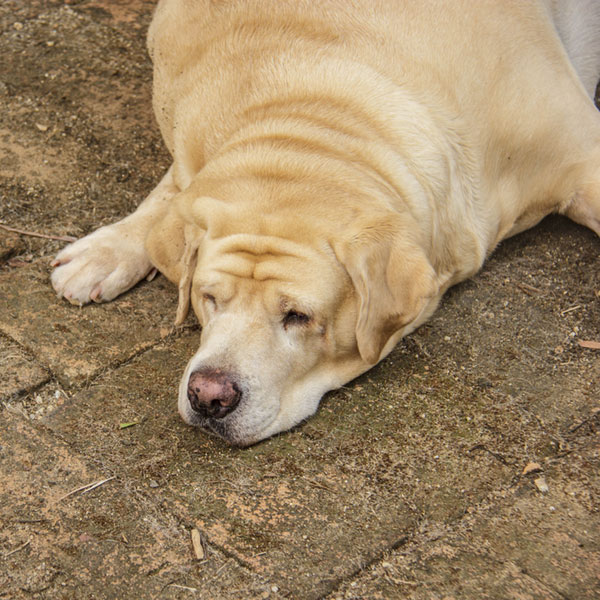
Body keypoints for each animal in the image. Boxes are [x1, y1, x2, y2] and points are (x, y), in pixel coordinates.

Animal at [51, 0, 600, 446]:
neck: (314, 123)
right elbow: (171, 198)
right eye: (209, 299)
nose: (208, 395)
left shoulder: (580, 149)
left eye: (298, 316)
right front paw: (110, 249)